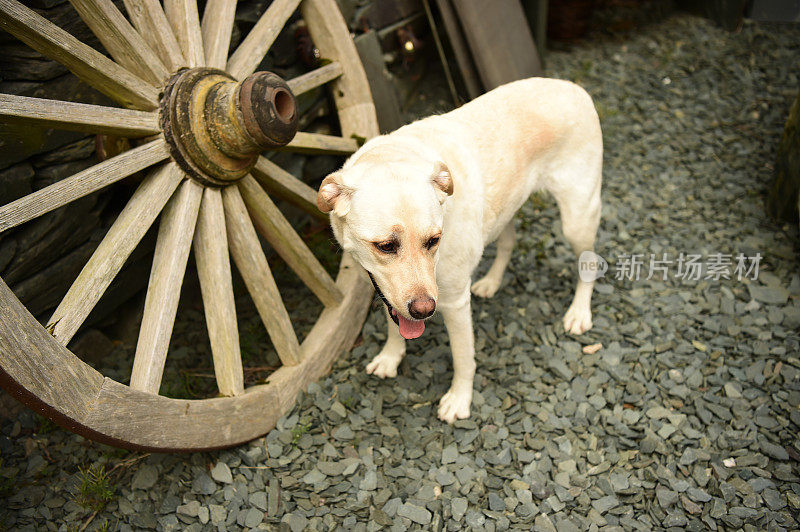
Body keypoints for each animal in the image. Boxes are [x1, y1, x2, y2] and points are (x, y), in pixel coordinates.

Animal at [318, 77, 600, 422]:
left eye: (434, 240)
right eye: (385, 246)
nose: (424, 310)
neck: (394, 155)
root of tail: (572, 86)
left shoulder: (453, 302)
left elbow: (463, 356)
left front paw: (460, 399)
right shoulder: (385, 290)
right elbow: (394, 326)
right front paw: (390, 357)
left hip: (577, 220)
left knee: (590, 263)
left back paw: (579, 312)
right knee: (508, 241)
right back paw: (491, 282)